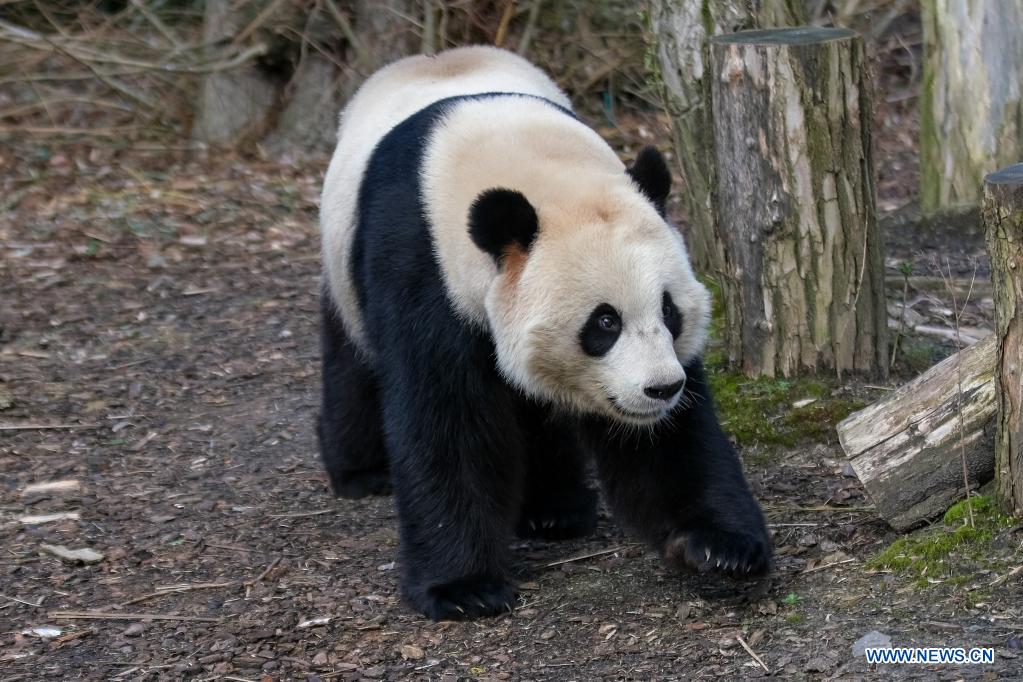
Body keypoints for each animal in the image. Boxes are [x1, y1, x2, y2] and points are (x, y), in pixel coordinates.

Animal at [315, 45, 769, 621]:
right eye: (604, 323)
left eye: (669, 312)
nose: (661, 389)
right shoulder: (422, 266)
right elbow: (444, 418)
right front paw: (464, 588)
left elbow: (670, 442)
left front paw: (719, 546)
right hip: (343, 267)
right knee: (351, 362)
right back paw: (360, 473)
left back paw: (556, 511)